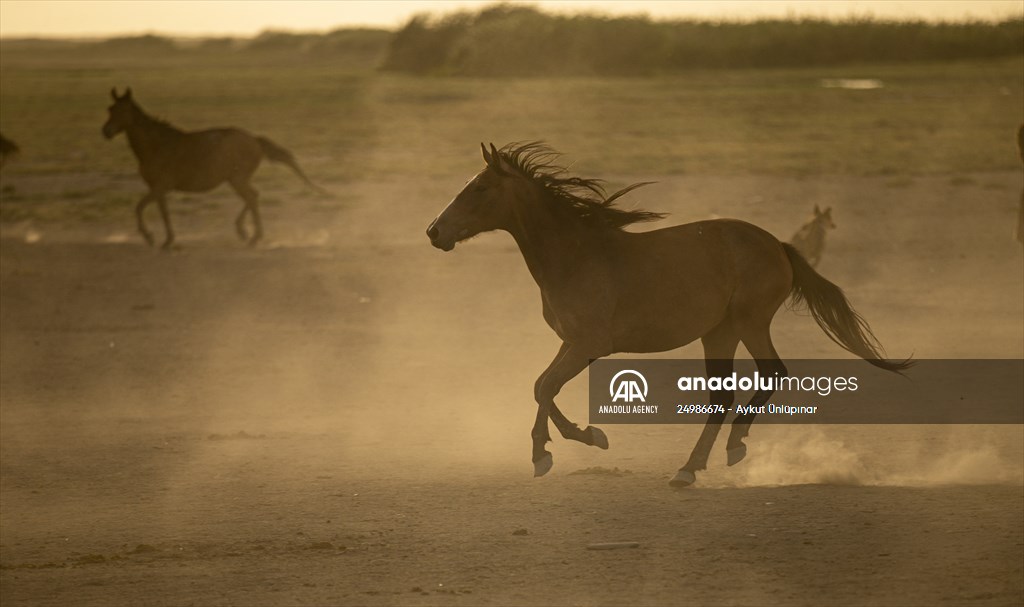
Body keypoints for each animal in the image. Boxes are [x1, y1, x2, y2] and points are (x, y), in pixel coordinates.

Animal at [102, 87, 324, 248]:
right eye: (110, 109)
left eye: (123, 110)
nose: (106, 131)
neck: (157, 146)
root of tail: (255, 140)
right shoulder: (158, 189)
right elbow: (159, 211)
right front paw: (164, 239)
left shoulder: (160, 187)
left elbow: (141, 208)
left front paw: (152, 238)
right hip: (236, 179)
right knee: (253, 196)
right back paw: (244, 232)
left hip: (238, 179)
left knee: (252, 197)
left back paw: (252, 236)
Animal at [427, 142, 912, 486]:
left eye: (479, 189)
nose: (434, 231)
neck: (575, 255)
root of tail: (778, 245)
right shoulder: (571, 342)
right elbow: (539, 386)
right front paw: (571, 441)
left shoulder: (590, 345)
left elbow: (546, 387)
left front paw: (554, 451)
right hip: (718, 332)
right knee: (722, 396)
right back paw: (689, 468)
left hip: (748, 322)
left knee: (772, 374)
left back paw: (734, 446)